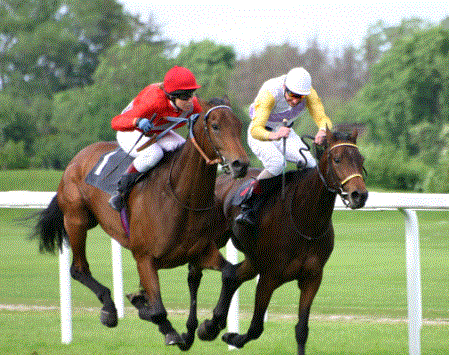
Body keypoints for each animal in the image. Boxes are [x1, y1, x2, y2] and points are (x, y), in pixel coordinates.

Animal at [31, 96, 248, 350]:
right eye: (215, 126)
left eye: (239, 126)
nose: (241, 164)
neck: (180, 197)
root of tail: (77, 159)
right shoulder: (144, 258)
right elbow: (158, 310)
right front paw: (169, 329)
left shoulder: (200, 252)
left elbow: (229, 274)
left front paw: (210, 326)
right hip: (77, 220)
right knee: (78, 269)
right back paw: (109, 309)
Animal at [194, 128, 366, 355]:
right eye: (337, 159)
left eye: (361, 159)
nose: (360, 195)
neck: (304, 220)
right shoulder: (269, 277)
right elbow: (256, 327)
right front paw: (232, 337)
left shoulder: (312, 277)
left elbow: (302, 329)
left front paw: (223, 331)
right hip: (213, 239)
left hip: (254, 259)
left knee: (231, 275)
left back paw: (211, 325)